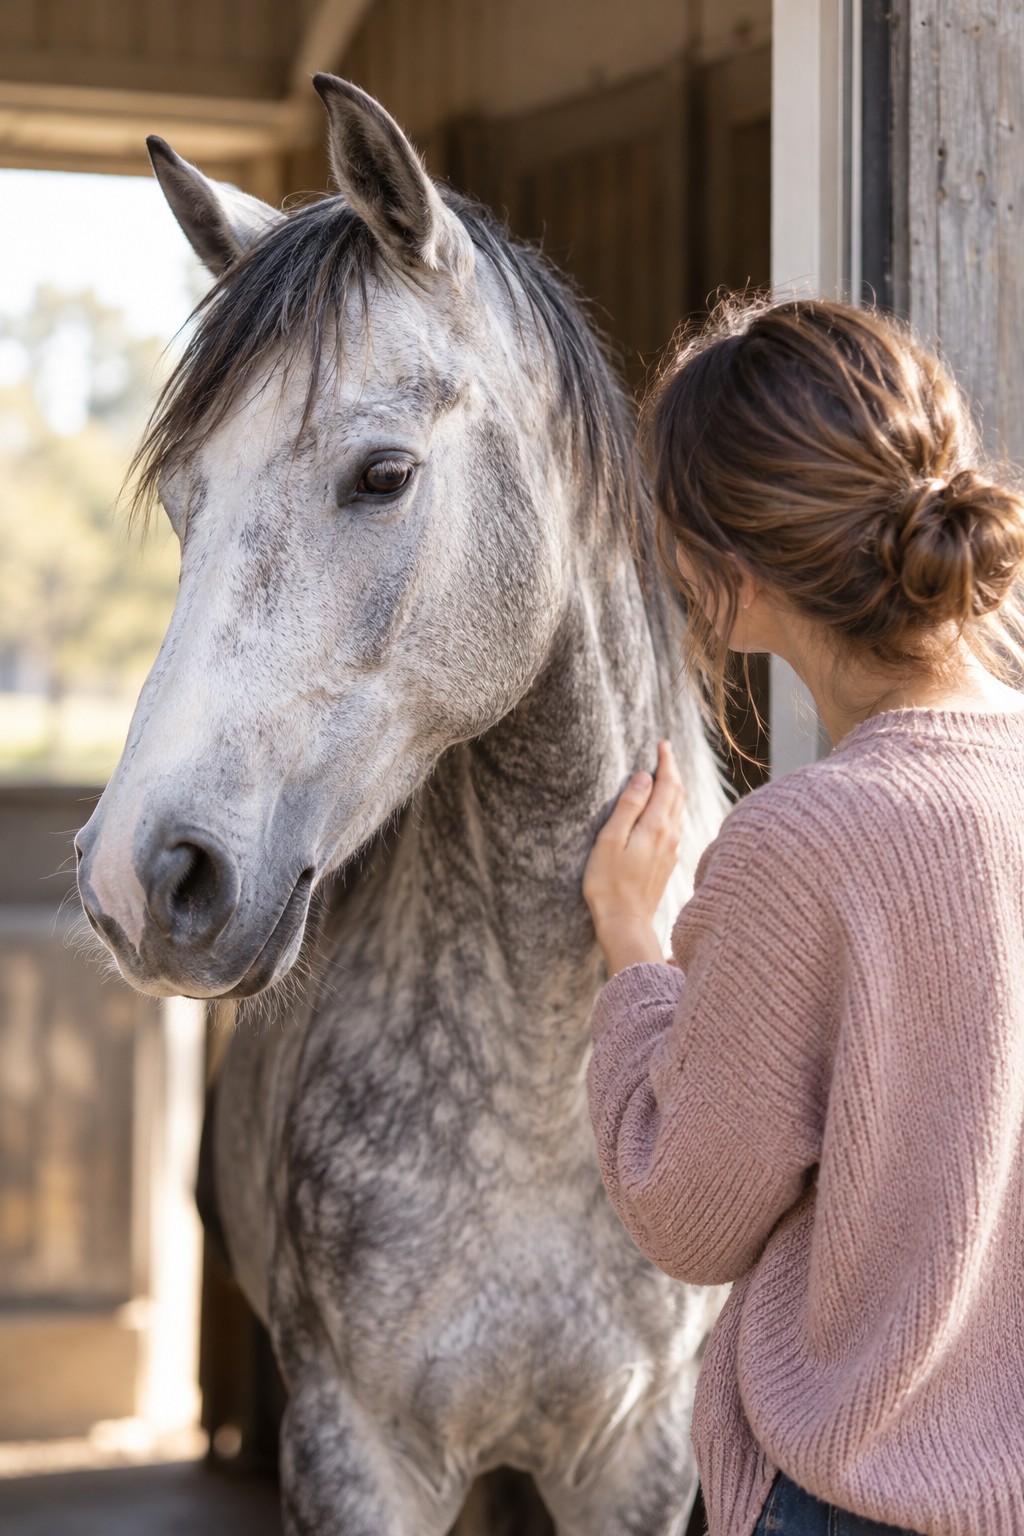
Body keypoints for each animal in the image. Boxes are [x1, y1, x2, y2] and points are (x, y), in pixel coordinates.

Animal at [75, 76, 727, 1536]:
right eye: (187, 503)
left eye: (381, 474)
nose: (141, 876)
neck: (552, 1081)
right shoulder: (357, 1449)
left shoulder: (640, 1458)